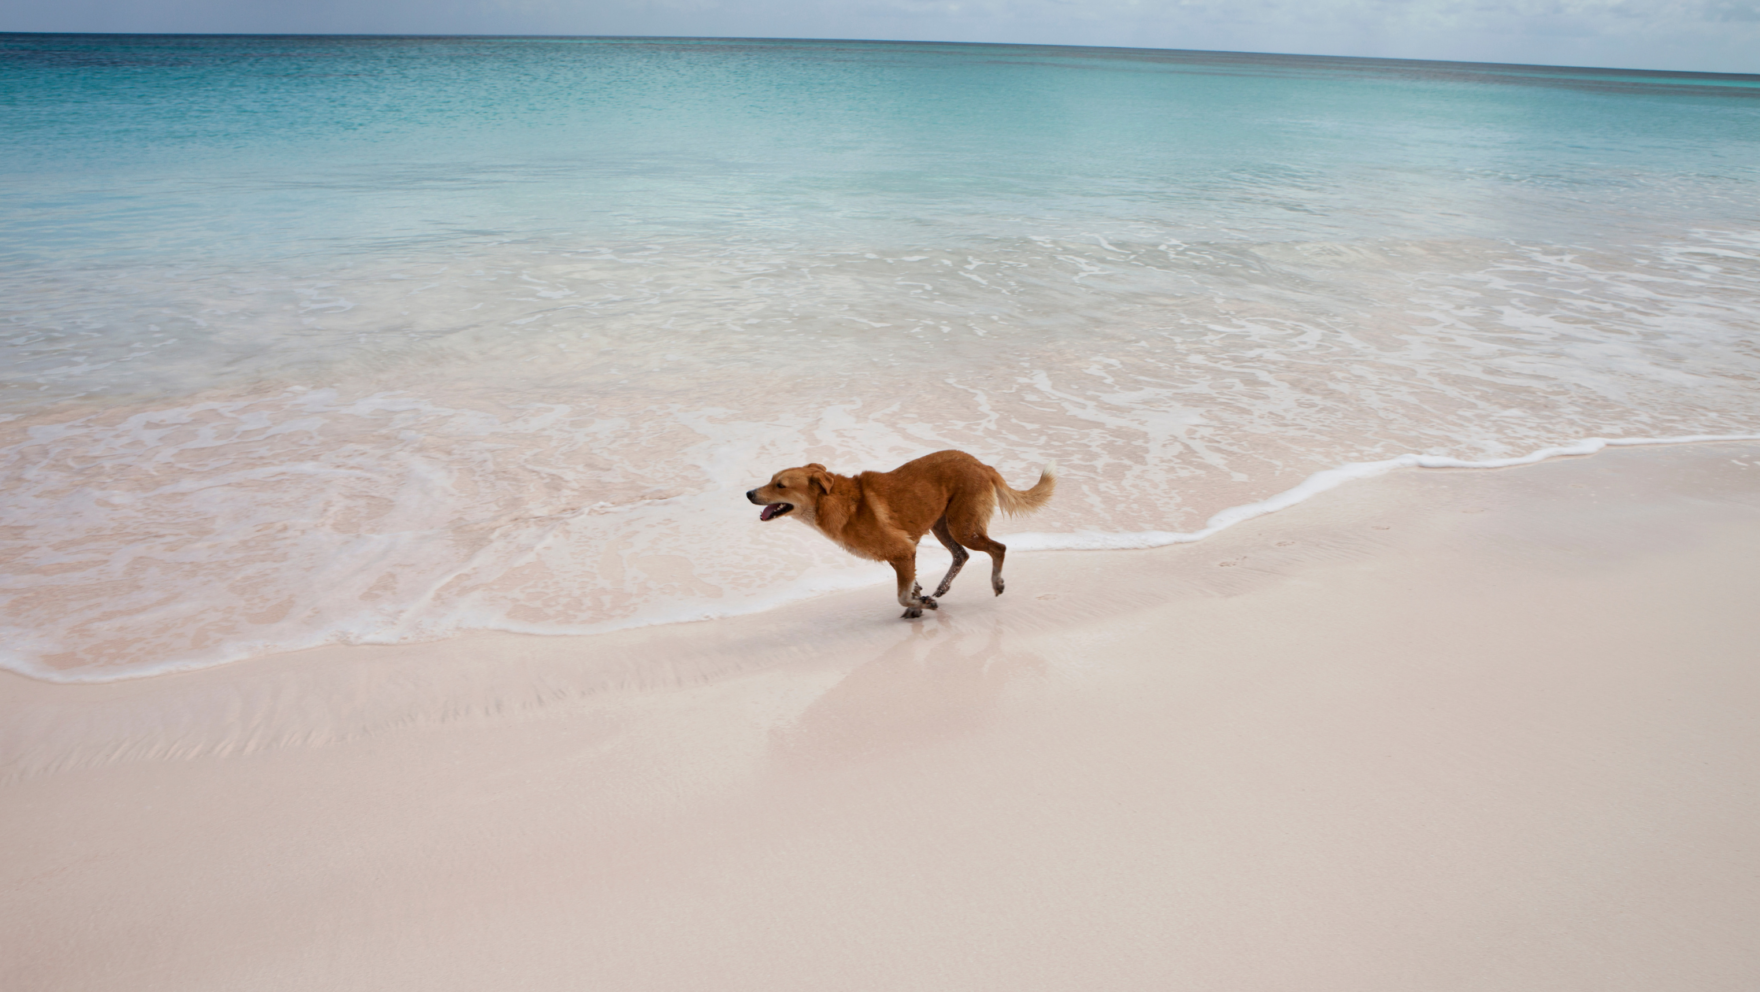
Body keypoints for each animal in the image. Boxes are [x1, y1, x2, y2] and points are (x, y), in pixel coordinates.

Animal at [746, 450, 1048, 619]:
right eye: (771, 480)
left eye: (780, 485)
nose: (748, 493)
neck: (836, 502)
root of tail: (982, 465)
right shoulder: (900, 554)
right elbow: (912, 586)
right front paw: (921, 603)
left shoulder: (902, 551)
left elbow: (902, 594)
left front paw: (922, 605)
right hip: (942, 525)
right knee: (961, 556)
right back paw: (942, 588)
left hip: (962, 526)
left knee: (998, 548)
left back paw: (997, 583)